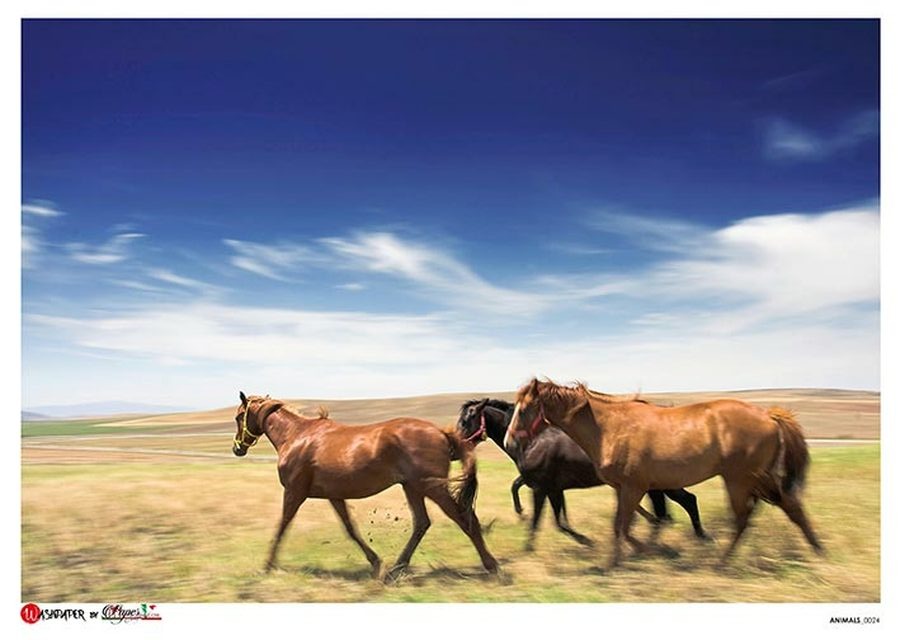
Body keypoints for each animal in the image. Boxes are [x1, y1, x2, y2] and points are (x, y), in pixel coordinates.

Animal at [232, 392, 498, 580]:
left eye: (237, 417)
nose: (237, 448)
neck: (296, 436)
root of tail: (441, 432)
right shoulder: (334, 495)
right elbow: (351, 529)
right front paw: (376, 563)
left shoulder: (294, 492)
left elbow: (282, 526)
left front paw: (267, 566)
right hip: (412, 487)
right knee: (422, 523)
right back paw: (396, 568)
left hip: (432, 488)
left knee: (464, 519)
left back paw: (491, 565)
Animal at [457, 398, 708, 550]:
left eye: (466, 420)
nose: (455, 441)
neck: (533, 440)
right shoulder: (554, 489)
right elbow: (560, 521)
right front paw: (585, 540)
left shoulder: (541, 488)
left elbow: (539, 521)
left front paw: (528, 544)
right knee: (669, 509)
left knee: (684, 502)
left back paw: (697, 538)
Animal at [503, 379, 823, 567]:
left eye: (525, 408)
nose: (510, 442)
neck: (608, 428)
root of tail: (769, 416)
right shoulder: (624, 489)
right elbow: (625, 524)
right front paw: (635, 554)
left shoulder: (635, 487)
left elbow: (625, 526)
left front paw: (634, 556)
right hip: (757, 479)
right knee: (789, 506)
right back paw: (818, 550)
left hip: (741, 479)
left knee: (746, 517)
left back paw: (721, 561)